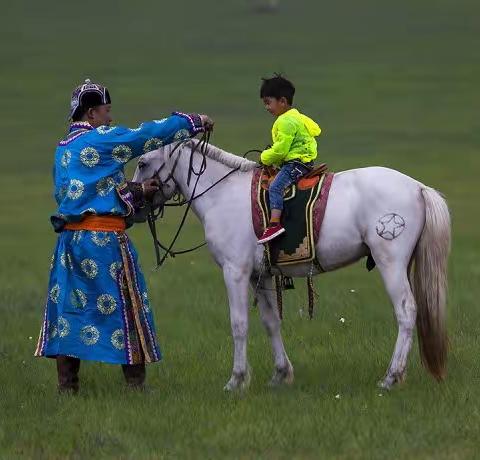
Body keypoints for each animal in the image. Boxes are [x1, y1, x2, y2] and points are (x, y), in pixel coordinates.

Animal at [133, 141, 452, 392]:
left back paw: (391, 377)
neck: (221, 194)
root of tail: (418, 187)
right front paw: (281, 374)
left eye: (143, 163)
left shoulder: (235, 272)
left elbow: (239, 324)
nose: (133, 204)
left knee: (406, 311)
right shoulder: (258, 276)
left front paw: (236, 380)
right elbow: (270, 322)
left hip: (391, 263)